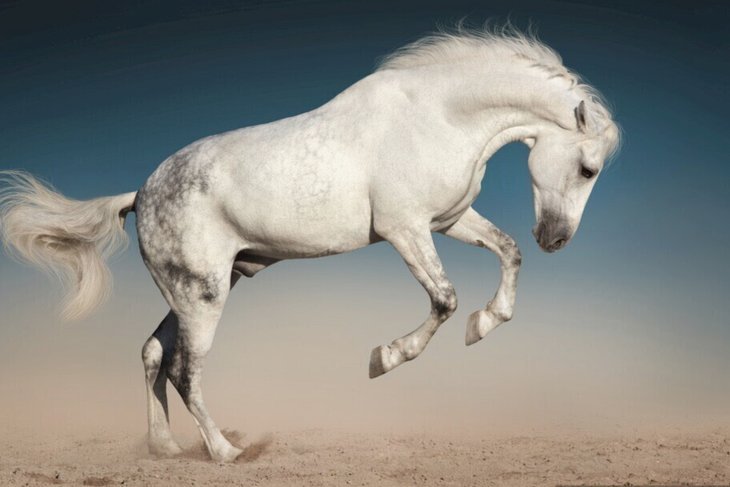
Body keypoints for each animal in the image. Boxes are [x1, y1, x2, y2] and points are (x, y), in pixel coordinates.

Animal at [0, 26, 620, 462]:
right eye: (588, 169)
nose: (556, 239)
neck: (438, 116)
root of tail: (139, 195)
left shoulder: (448, 220)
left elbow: (507, 252)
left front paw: (484, 325)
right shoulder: (406, 230)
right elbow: (443, 299)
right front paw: (384, 359)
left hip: (200, 289)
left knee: (153, 353)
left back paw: (166, 449)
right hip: (203, 296)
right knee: (184, 369)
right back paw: (225, 452)